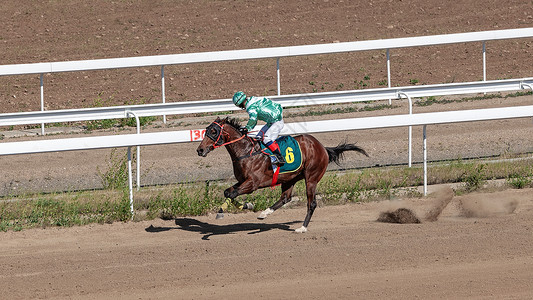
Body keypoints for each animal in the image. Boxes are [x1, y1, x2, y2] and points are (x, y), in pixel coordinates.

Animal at [195, 116, 366, 232]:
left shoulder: (253, 183)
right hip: (289, 178)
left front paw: (241, 207)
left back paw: (302, 228)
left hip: (311, 178)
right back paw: (264, 213)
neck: (246, 152)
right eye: (206, 130)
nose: (200, 150)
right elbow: (228, 192)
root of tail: (322, 147)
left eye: (214, 131)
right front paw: (243, 206)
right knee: (285, 198)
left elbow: (232, 194)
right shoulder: (242, 180)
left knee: (311, 203)